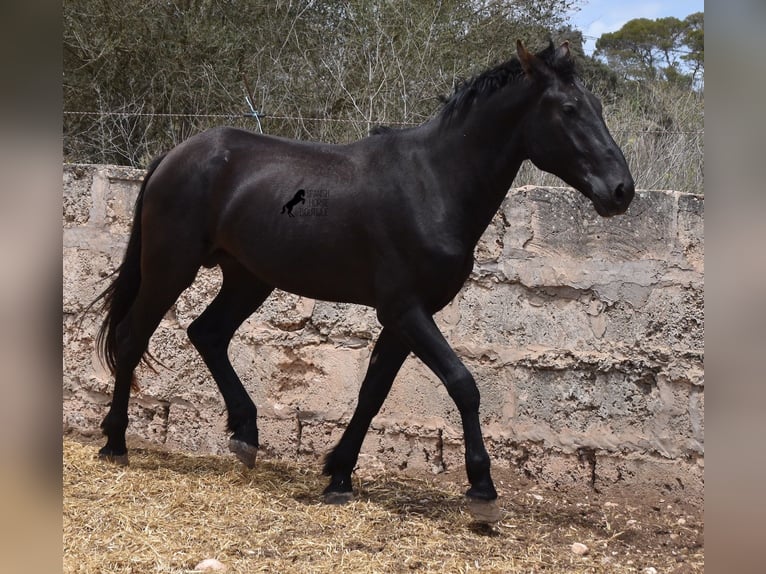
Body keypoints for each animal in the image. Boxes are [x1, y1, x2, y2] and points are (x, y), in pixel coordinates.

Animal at [94, 41, 636, 528]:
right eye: (568, 109)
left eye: (598, 106)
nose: (621, 191)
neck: (432, 184)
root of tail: (172, 156)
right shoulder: (404, 310)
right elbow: (463, 385)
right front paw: (482, 491)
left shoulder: (404, 318)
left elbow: (372, 393)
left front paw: (338, 476)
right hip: (171, 267)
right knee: (132, 336)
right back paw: (115, 444)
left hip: (248, 279)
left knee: (207, 333)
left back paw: (245, 436)